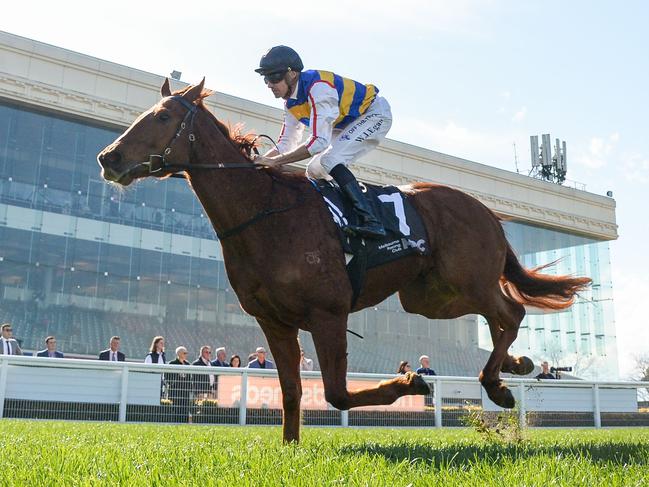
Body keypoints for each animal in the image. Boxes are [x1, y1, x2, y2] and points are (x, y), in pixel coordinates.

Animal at [97, 80, 592, 442]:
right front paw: (289, 448)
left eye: (162, 116)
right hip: (429, 298)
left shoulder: (327, 313)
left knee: (511, 311)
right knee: (500, 317)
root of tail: (488, 212)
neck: (266, 213)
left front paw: (410, 384)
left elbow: (336, 393)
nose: (108, 157)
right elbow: (293, 391)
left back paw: (498, 382)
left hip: (468, 280)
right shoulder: (273, 322)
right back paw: (517, 366)